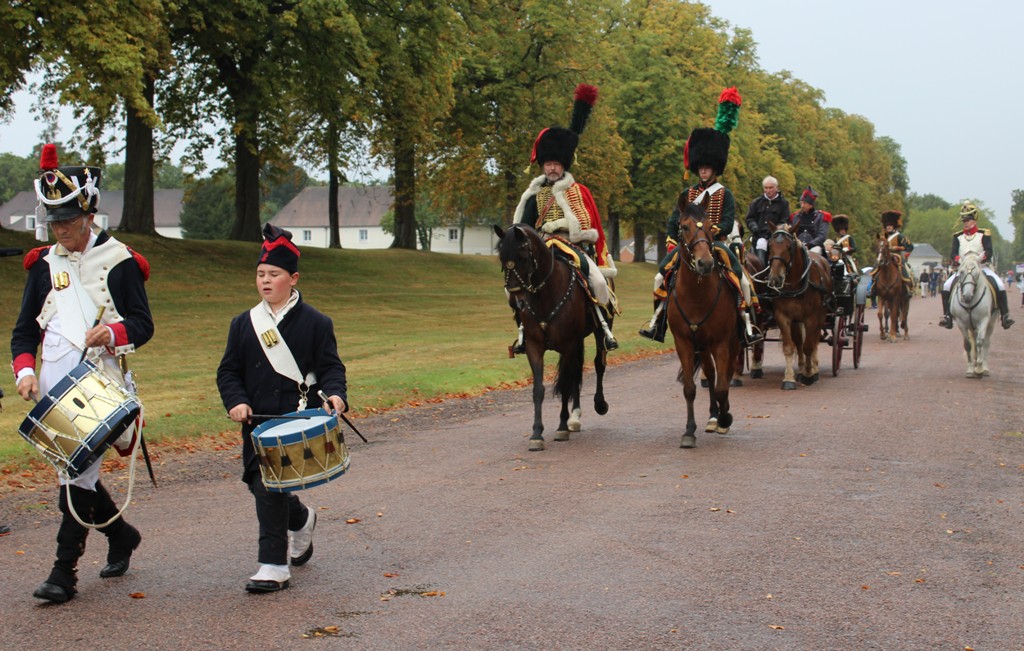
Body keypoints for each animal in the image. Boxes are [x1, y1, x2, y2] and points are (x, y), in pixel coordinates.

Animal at [493, 221, 606, 450]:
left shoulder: (568, 345)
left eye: (523, 256)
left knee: (598, 364)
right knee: (576, 373)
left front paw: (561, 427)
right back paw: (575, 417)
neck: (546, 294)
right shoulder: (534, 347)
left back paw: (597, 404)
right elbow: (539, 389)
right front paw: (537, 433)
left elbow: (564, 384)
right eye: (501, 258)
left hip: (595, 334)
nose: (516, 302)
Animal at [667, 203, 741, 448]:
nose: (705, 263)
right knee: (709, 373)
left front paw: (725, 418)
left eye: (710, 226)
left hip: (730, 343)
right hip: (703, 346)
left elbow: (722, 388)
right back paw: (713, 416)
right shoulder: (684, 343)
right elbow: (690, 388)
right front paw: (689, 431)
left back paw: (720, 417)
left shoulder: (721, 343)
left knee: (724, 375)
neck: (696, 295)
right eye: (684, 226)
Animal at [765, 226, 835, 388]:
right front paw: (789, 378)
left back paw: (813, 369)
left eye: (789, 247)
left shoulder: (811, 318)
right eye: (770, 246)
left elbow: (809, 346)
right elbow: (790, 346)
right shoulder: (783, 317)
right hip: (797, 320)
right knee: (799, 342)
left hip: (821, 316)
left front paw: (809, 375)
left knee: (814, 341)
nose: (775, 278)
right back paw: (802, 368)